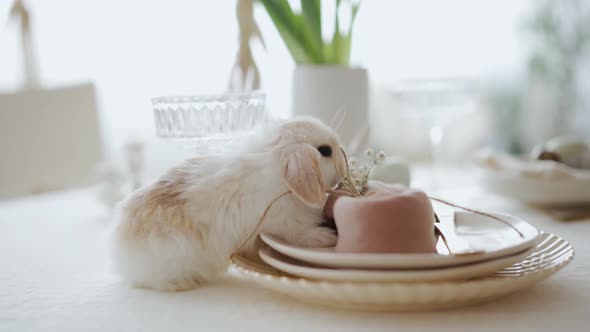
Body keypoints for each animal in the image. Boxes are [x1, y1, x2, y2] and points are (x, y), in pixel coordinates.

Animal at [111, 116, 350, 290]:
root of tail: (121, 256)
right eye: (325, 151)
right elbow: (300, 233)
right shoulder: (282, 224)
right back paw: (184, 283)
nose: (343, 168)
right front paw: (326, 237)